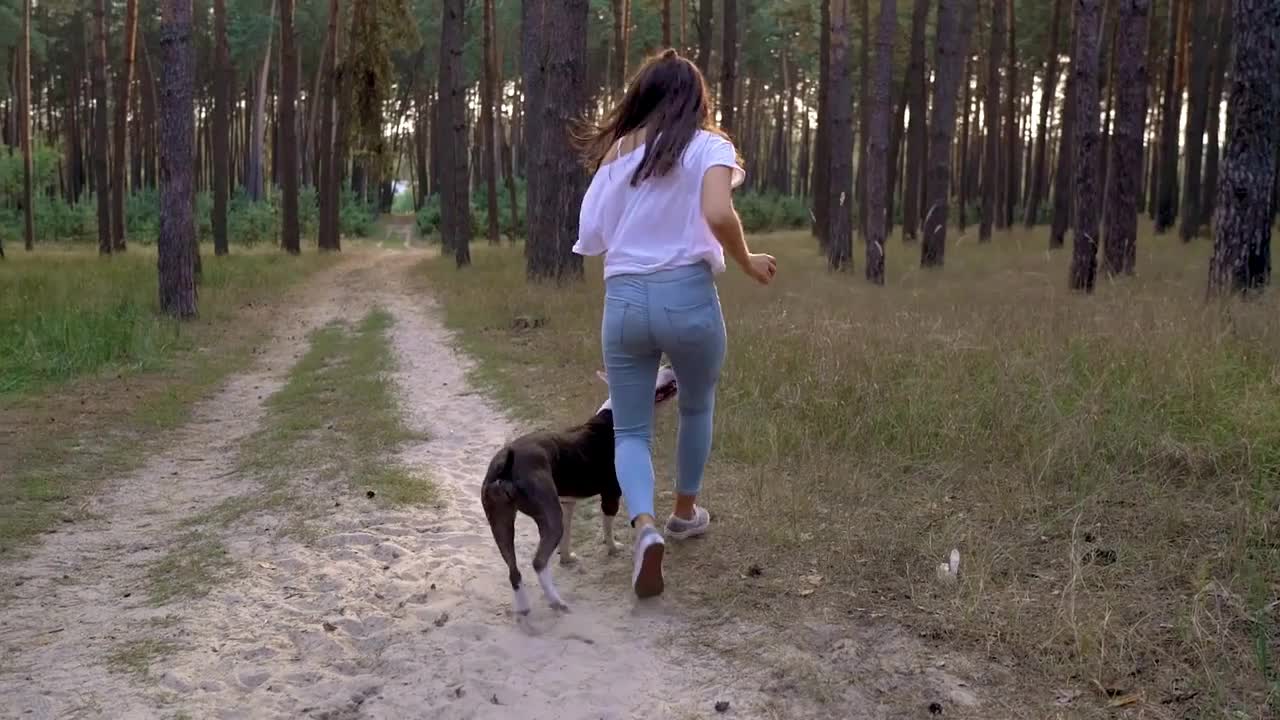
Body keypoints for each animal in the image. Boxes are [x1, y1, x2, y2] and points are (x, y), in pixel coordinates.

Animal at [481, 363, 680, 609]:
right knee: (538, 562)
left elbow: (567, 536)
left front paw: (566, 558)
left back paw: (524, 610)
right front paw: (613, 548)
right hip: (549, 516)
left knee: (514, 570)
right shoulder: (611, 495)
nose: (669, 365)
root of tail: (506, 464)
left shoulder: (567, 503)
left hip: (502, 522)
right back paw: (556, 602)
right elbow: (607, 527)